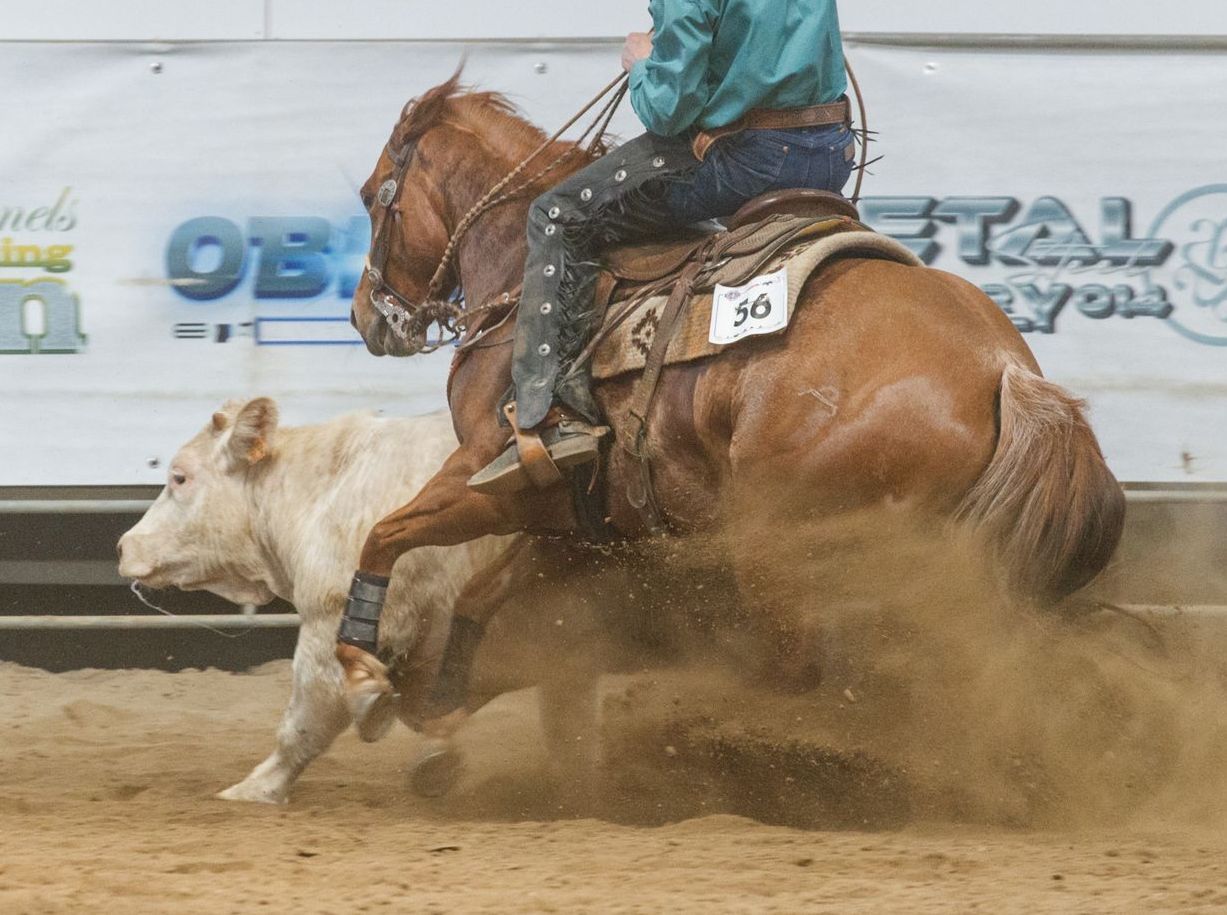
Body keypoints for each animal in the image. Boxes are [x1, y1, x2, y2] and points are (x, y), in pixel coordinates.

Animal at [117, 399, 611, 804]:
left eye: (180, 476)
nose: (124, 546)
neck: (324, 492)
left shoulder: (328, 624)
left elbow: (305, 721)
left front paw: (257, 788)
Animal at [337, 71, 1126, 722]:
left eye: (373, 196)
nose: (366, 317)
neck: (518, 272)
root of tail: (1003, 369)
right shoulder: (576, 516)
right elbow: (480, 592)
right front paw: (437, 698)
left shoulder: (484, 476)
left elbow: (384, 534)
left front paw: (361, 668)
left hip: (776, 543)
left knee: (798, 666)